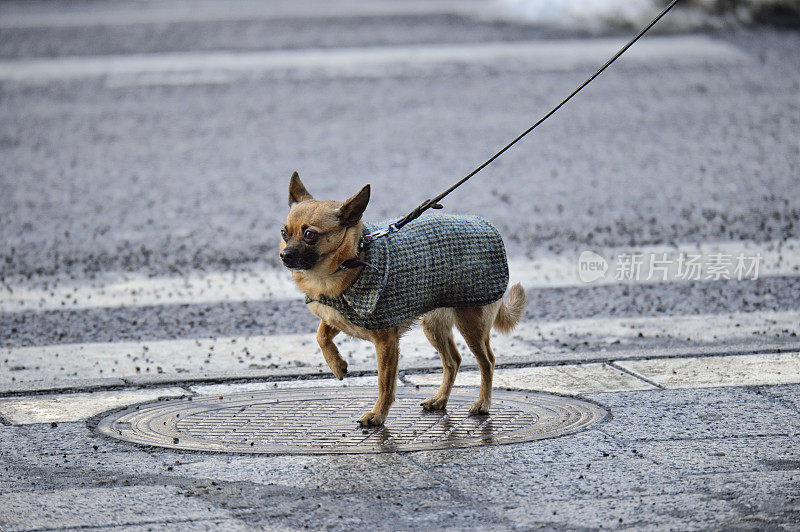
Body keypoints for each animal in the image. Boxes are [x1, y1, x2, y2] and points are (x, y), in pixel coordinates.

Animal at [280, 172, 524, 426]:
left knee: (487, 362)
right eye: (284, 233)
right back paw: (440, 399)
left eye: (310, 235)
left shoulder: (386, 343)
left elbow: (385, 384)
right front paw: (337, 365)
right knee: (453, 361)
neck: (354, 258)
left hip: (471, 326)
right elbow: (321, 336)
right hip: (434, 326)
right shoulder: (337, 317)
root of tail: (487, 225)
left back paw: (483, 403)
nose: (284, 255)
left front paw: (378, 414)